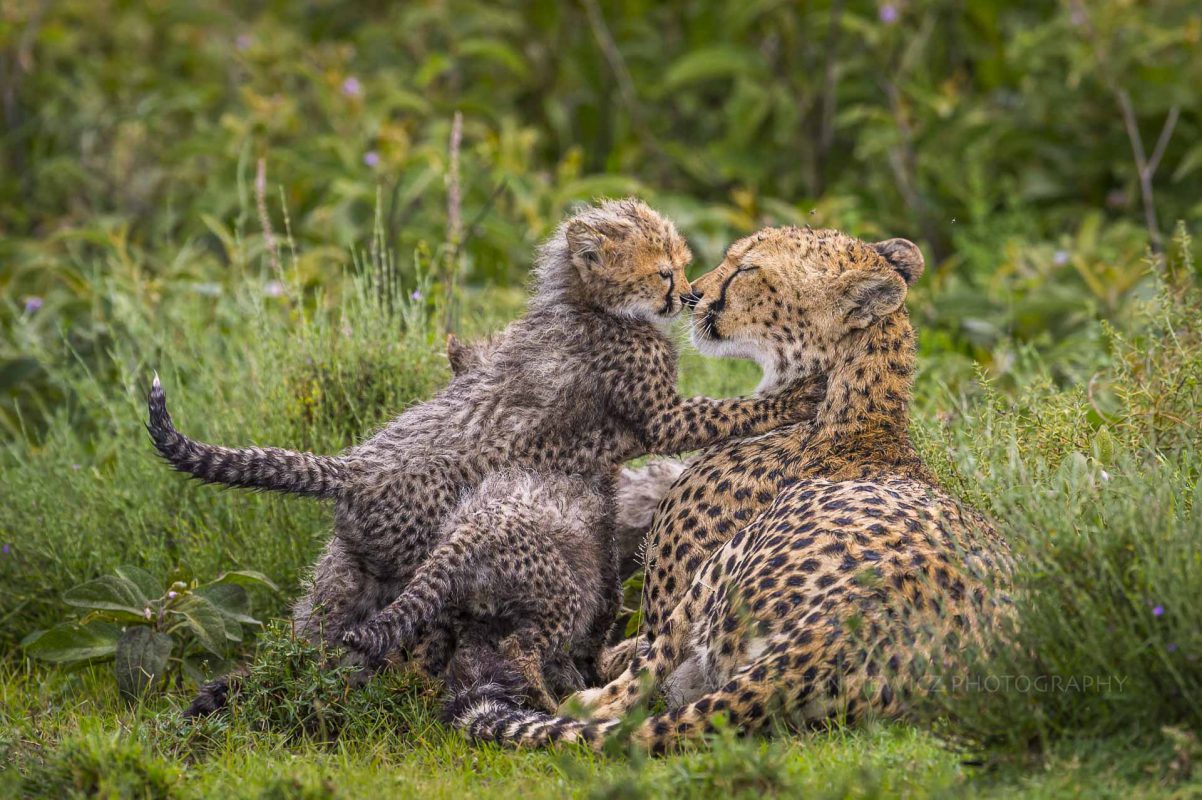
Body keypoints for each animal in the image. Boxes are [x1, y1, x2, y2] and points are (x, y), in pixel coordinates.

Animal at [447, 222, 1009, 749]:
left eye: (747, 270)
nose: (693, 294)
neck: (854, 409)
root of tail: (843, 631)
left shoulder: (654, 622)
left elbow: (626, 655)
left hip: (733, 559)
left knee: (629, 690)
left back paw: (574, 698)